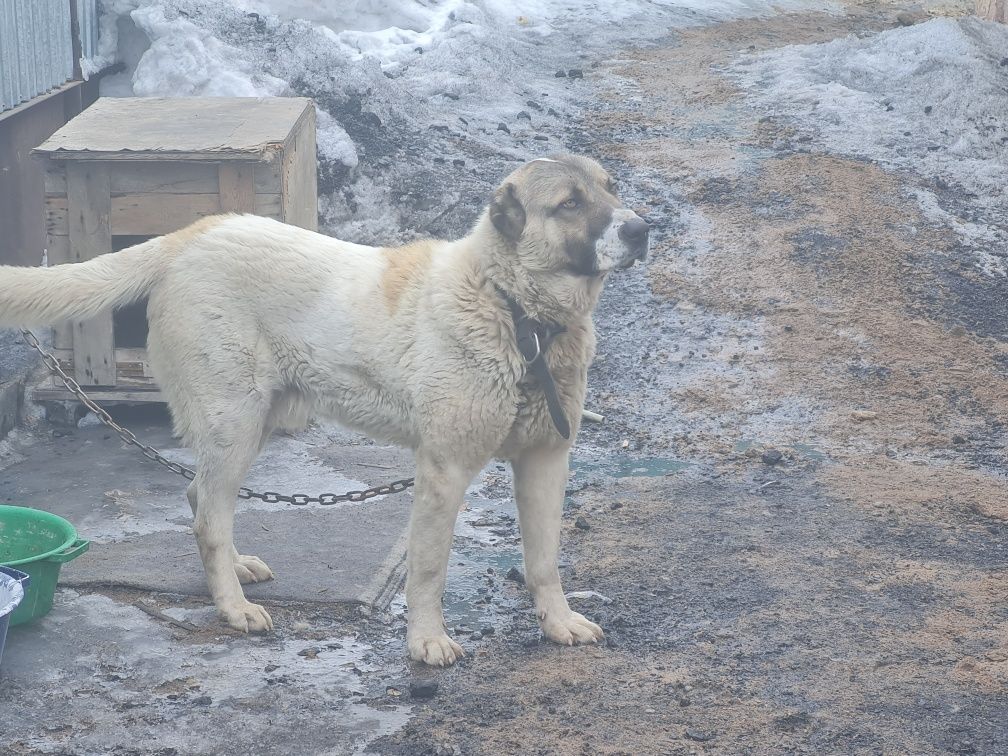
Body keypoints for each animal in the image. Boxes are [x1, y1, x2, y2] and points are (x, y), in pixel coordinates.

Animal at [0, 157, 649, 665]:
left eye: (611, 187)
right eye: (569, 203)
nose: (645, 229)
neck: (514, 311)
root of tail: (192, 234)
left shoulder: (547, 459)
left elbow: (544, 559)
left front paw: (558, 623)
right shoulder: (443, 470)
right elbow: (429, 569)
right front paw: (426, 642)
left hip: (253, 421)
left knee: (201, 498)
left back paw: (235, 570)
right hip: (236, 418)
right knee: (209, 515)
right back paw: (234, 609)